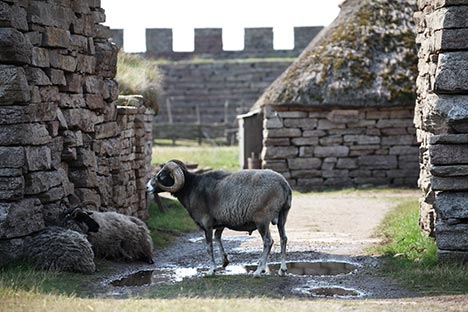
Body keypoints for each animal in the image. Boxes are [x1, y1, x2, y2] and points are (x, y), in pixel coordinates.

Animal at [147, 160, 292, 276]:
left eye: (161, 175)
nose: (147, 187)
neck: (191, 188)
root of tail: (284, 184)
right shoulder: (220, 224)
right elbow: (218, 238)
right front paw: (224, 261)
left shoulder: (207, 225)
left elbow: (209, 247)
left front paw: (211, 270)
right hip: (282, 216)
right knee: (283, 239)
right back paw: (282, 270)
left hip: (262, 221)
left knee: (268, 241)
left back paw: (258, 271)